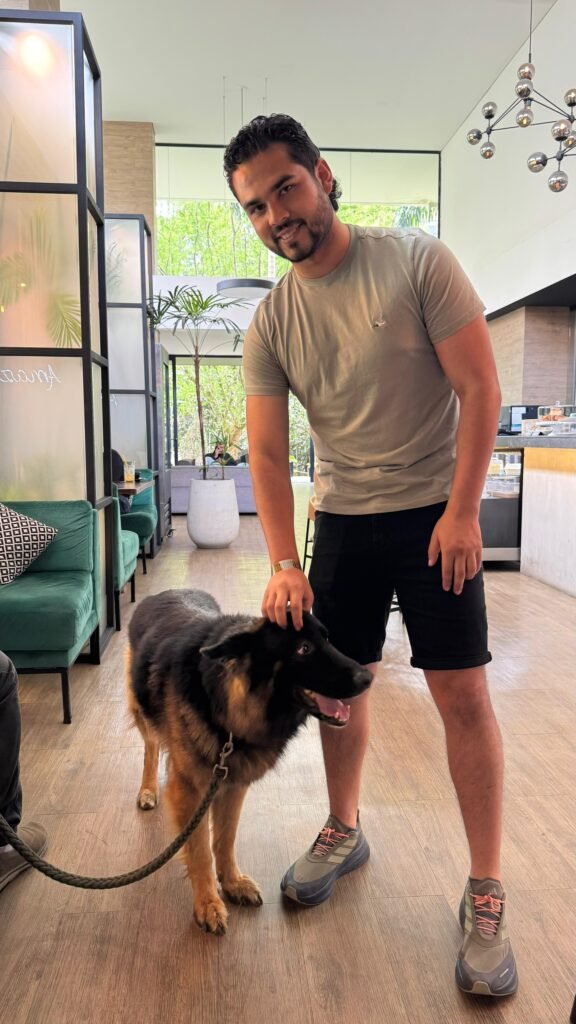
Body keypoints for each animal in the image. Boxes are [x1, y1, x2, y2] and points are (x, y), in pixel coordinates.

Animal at [126, 588, 372, 934]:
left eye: (326, 638)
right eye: (304, 648)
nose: (367, 678)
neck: (226, 705)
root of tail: (166, 592)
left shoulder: (232, 785)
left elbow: (225, 838)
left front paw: (231, 882)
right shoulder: (191, 790)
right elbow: (200, 850)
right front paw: (208, 903)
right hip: (142, 712)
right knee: (150, 747)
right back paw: (148, 789)